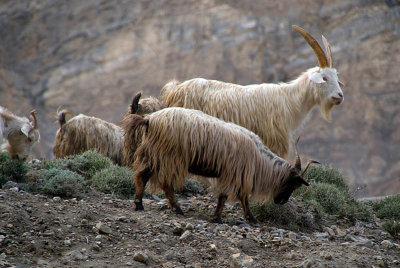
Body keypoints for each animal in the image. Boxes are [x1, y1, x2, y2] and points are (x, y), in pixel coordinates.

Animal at [122, 108, 316, 225]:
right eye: (294, 184)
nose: (281, 202)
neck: (259, 158)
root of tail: (149, 119)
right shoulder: (234, 174)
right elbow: (230, 197)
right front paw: (222, 218)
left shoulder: (235, 174)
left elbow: (240, 197)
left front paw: (246, 218)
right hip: (169, 157)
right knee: (165, 184)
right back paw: (177, 209)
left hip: (157, 156)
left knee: (142, 176)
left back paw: (139, 205)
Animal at [161, 24, 346, 159]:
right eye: (324, 78)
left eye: (336, 77)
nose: (340, 96)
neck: (290, 99)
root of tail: (175, 89)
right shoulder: (275, 140)